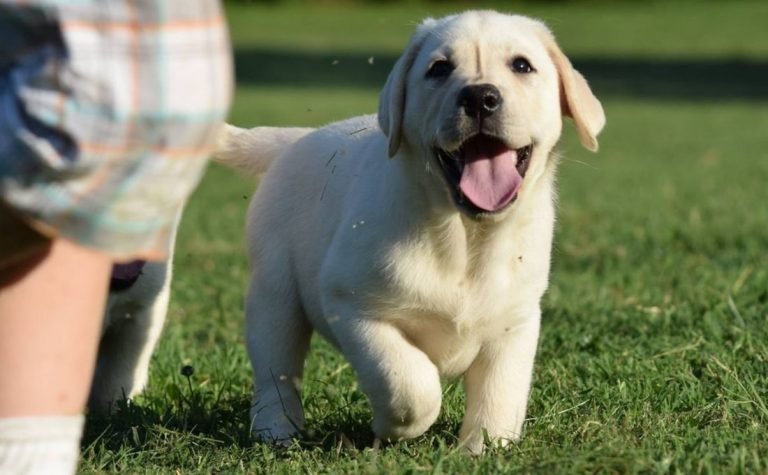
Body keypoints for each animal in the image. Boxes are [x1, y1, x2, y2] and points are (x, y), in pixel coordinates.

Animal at [213, 9, 604, 452]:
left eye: (522, 66)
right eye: (439, 68)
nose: (479, 97)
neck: (464, 237)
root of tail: (295, 140)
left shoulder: (516, 320)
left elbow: (500, 392)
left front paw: (483, 448)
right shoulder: (354, 307)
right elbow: (409, 385)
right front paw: (391, 429)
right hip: (275, 294)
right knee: (276, 371)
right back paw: (276, 432)